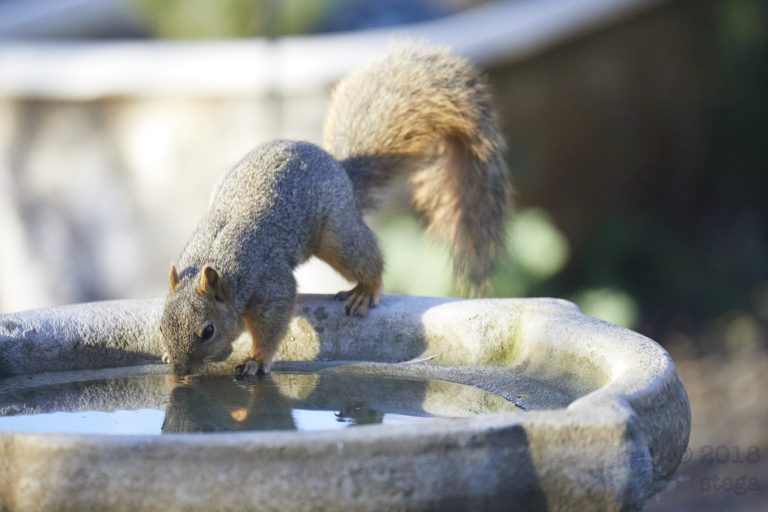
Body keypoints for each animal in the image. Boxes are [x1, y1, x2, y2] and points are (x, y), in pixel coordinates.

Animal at [160, 42, 513, 376]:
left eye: (208, 331)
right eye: (162, 325)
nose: (179, 371)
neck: (220, 266)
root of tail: (340, 169)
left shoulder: (269, 282)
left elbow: (272, 323)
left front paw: (257, 360)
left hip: (337, 234)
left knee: (366, 258)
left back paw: (365, 291)